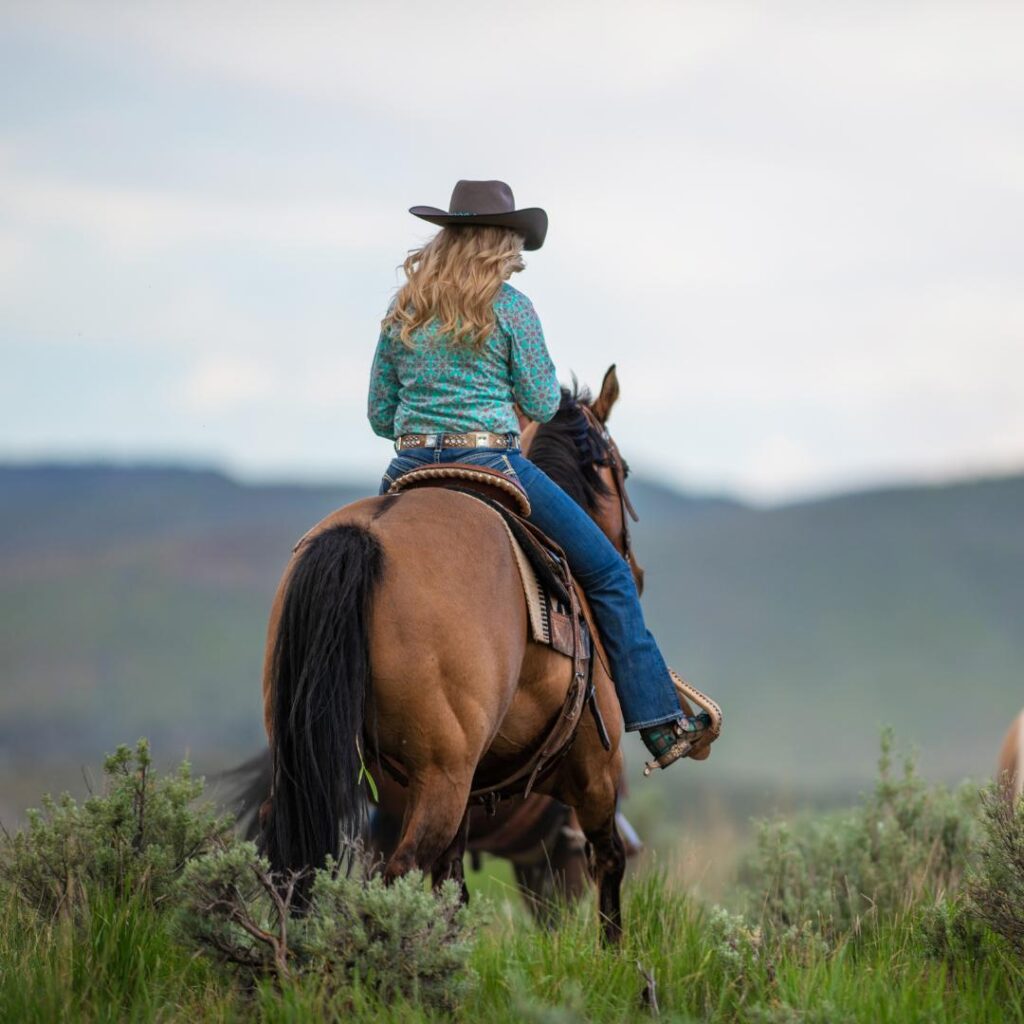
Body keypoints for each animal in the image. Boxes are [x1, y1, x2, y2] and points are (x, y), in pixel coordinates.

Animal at [258, 366, 639, 941]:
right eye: (623, 469)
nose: (633, 569)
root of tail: (364, 536)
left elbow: (453, 887)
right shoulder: (596, 768)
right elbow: (610, 862)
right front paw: (615, 957)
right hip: (441, 778)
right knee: (398, 873)